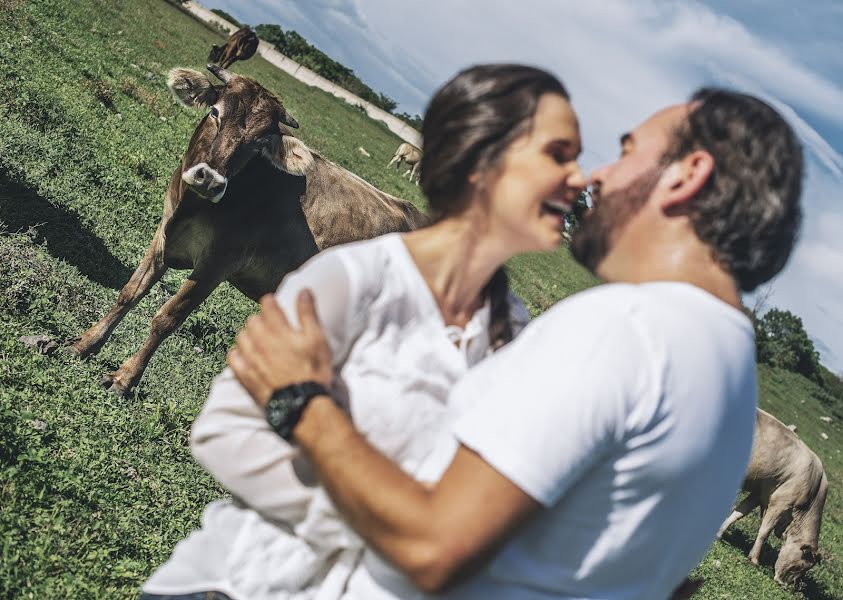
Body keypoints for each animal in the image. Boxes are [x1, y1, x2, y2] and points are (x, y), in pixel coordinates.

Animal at [62, 65, 426, 396]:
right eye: (215, 112)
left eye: (259, 142)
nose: (210, 179)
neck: (193, 207)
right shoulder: (163, 234)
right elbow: (129, 293)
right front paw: (83, 344)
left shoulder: (219, 262)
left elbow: (167, 318)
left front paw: (124, 378)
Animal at [720, 408, 832, 584]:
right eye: (799, 566)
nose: (783, 584)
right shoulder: (780, 503)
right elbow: (764, 531)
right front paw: (754, 559)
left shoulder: (759, 494)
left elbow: (739, 512)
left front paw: (720, 532)